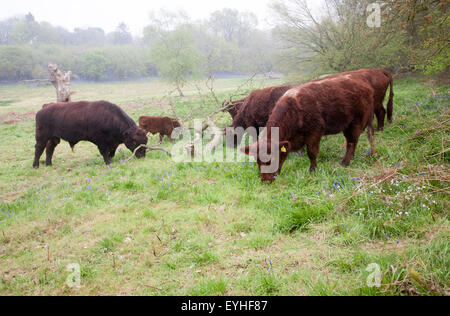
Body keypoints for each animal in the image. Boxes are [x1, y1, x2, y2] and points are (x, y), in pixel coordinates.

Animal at [241, 74, 374, 183]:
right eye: (257, 161)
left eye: (272, 159)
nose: (265, 180)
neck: (294, 110)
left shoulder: (314, 133)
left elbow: (312, 153)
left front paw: (312, 170)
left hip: (356, 122)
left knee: (352, 142)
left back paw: (345, 162)